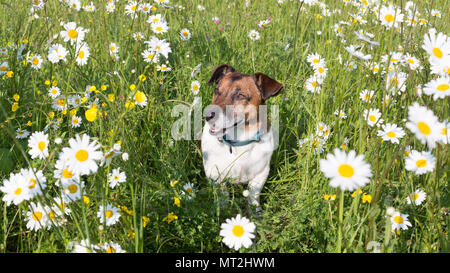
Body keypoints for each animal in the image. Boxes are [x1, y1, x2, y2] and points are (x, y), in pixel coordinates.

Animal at [202, 65, 284, 209]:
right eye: (216, 90)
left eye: (240, 95)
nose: (207, 115)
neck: (237, 142)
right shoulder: (214, 174)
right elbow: (222, 195)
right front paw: (223, 210)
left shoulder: (261, 173)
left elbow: (253, 193)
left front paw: (255, 210)